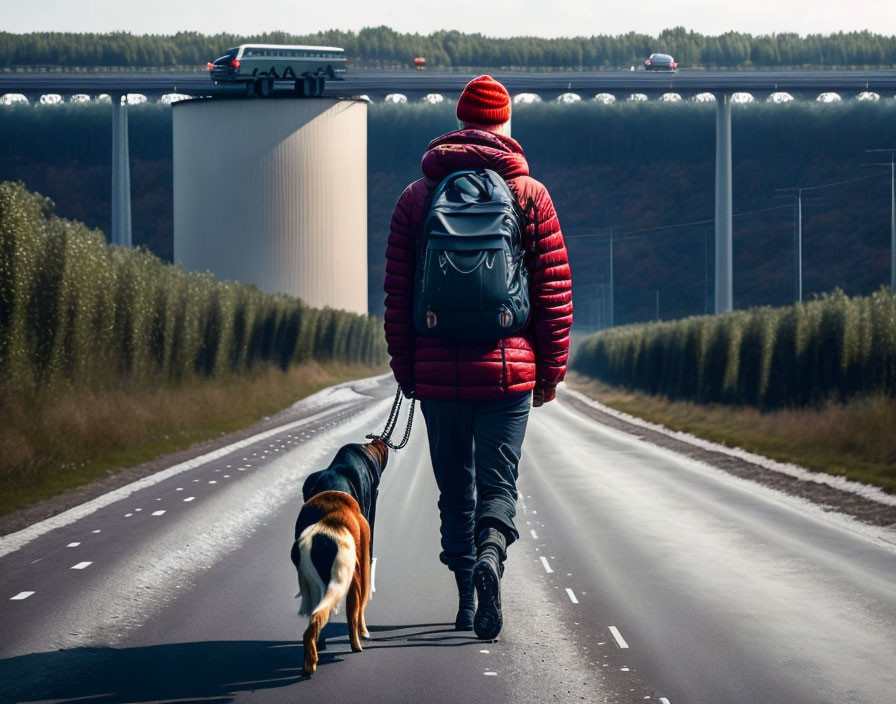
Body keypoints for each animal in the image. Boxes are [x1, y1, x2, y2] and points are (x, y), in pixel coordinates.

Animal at [290, 438, 388, 672]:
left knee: (314, 621)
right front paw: (363, 635)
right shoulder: (362, 567)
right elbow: (357, 613)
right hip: (348, 579)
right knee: (335, 616)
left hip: (318, 585)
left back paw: (311, 658)